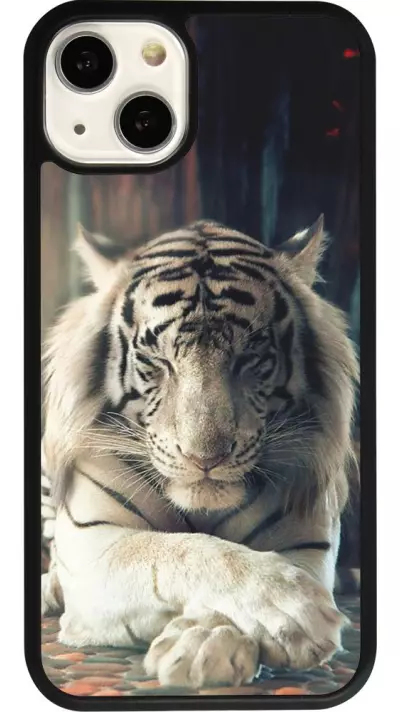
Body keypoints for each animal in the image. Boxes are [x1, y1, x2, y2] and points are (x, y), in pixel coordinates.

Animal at [41, 216, 359, 689]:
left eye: (251, 358)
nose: (204, 458)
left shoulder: (307, 542)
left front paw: (205, 644)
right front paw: (293, 609)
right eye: (157, 361)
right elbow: (180, 550)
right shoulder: (93, 544)